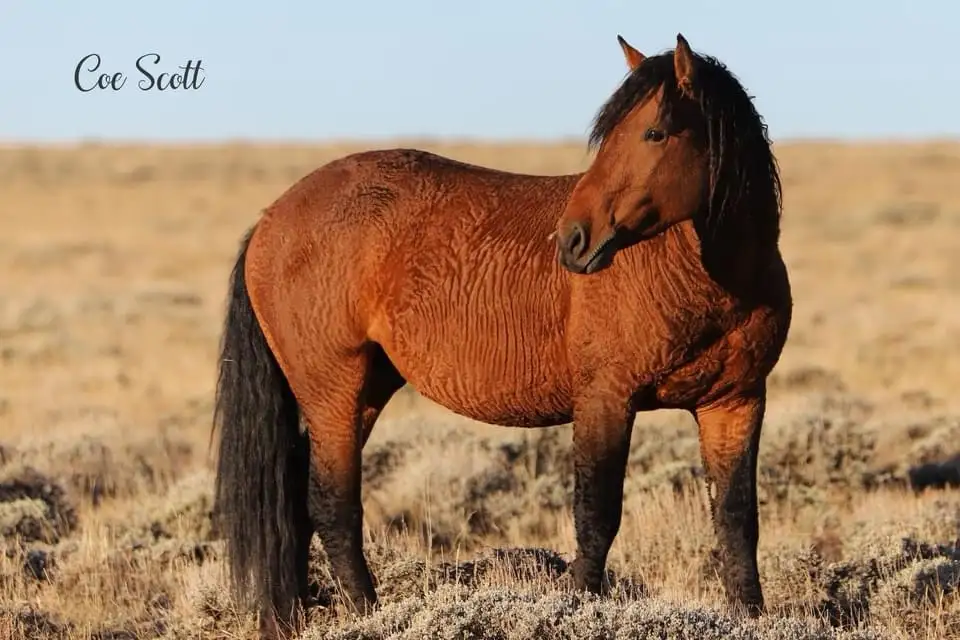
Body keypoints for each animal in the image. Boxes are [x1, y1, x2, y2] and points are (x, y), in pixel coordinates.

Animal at [211, 33, 791, 639]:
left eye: (654, 133)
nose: (573, 240)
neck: (704, 276)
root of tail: (271, 218)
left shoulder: (736, 403)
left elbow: (735, 519)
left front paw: (749, 615)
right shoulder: (605, 400)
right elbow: (596, 516)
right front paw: (580, 608)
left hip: (363, 392)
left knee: (301, 505)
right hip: (333, 395)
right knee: (331, 505)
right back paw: (370, 615)